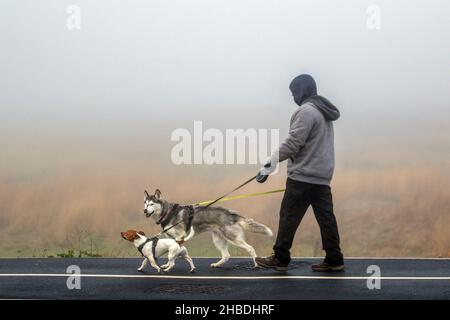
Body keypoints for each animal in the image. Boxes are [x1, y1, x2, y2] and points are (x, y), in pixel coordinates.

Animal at [144, 188, 272, 268]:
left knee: (250, 248)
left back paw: (256, 264)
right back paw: (217, 264)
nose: (145, 210)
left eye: (152, 204)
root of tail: (231, 213)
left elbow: (174, 255)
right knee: (226, 255)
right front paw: (167, 265)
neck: (168, 213)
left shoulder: (180, 237)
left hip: (233, 238)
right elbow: (171, 254)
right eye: (145, 203)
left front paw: (169, 265)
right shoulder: (172, 240)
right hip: (218, 240)